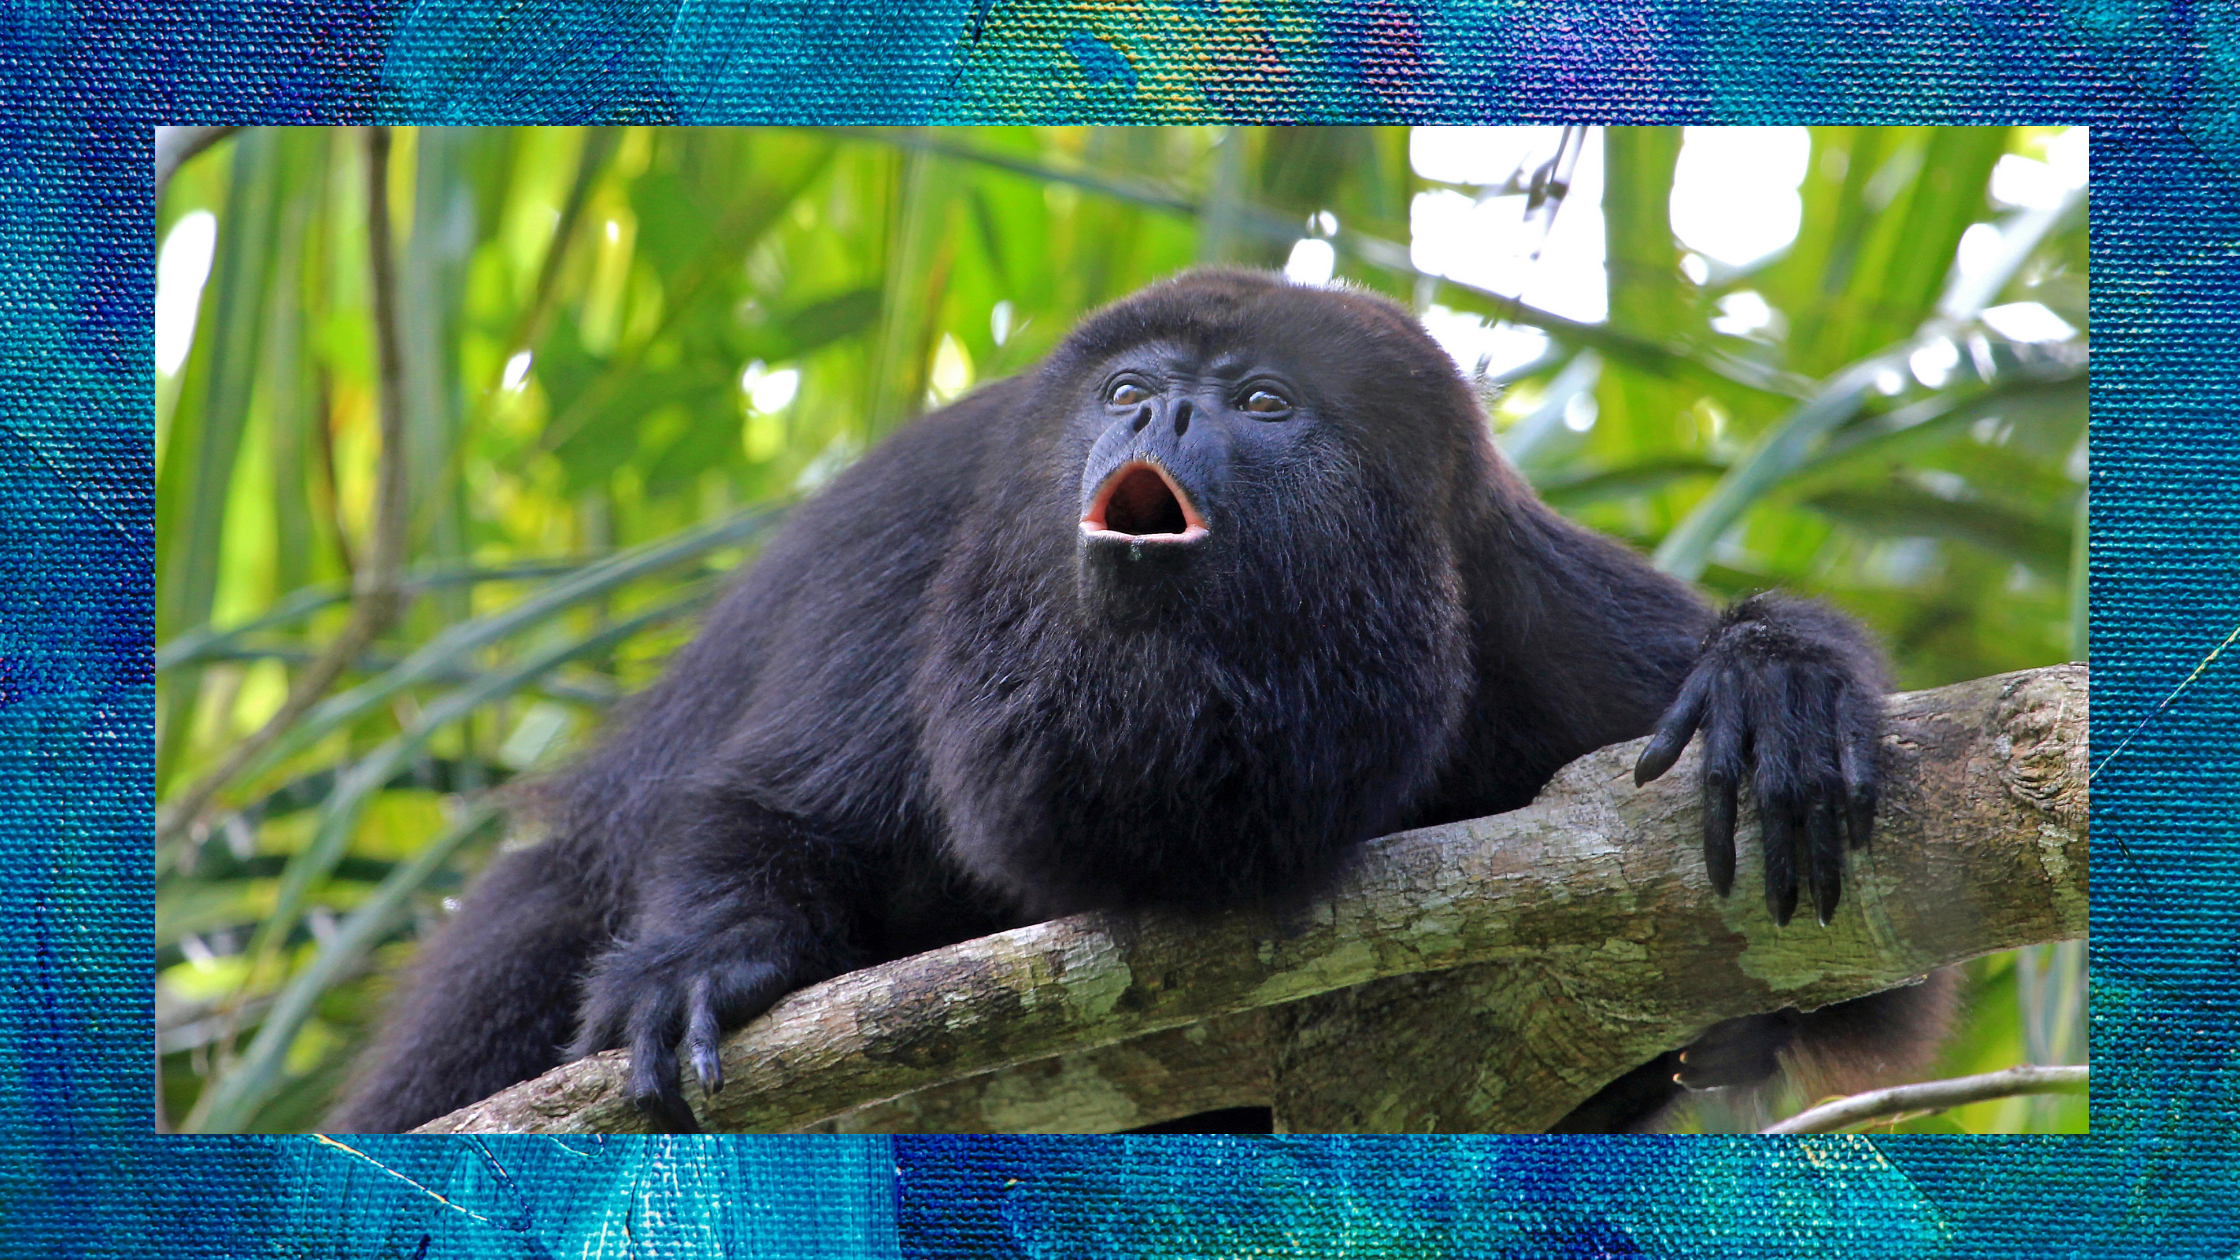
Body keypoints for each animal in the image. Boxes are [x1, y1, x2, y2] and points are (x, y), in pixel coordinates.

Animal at [327, 266, 1944, 1129]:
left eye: (1266, 403)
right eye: (1128, 392)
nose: (1161, 410)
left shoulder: (1521, 603)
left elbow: (1866, 970)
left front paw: (1774, 682)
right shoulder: (934, 531)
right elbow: (777, 807)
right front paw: (705, 961)